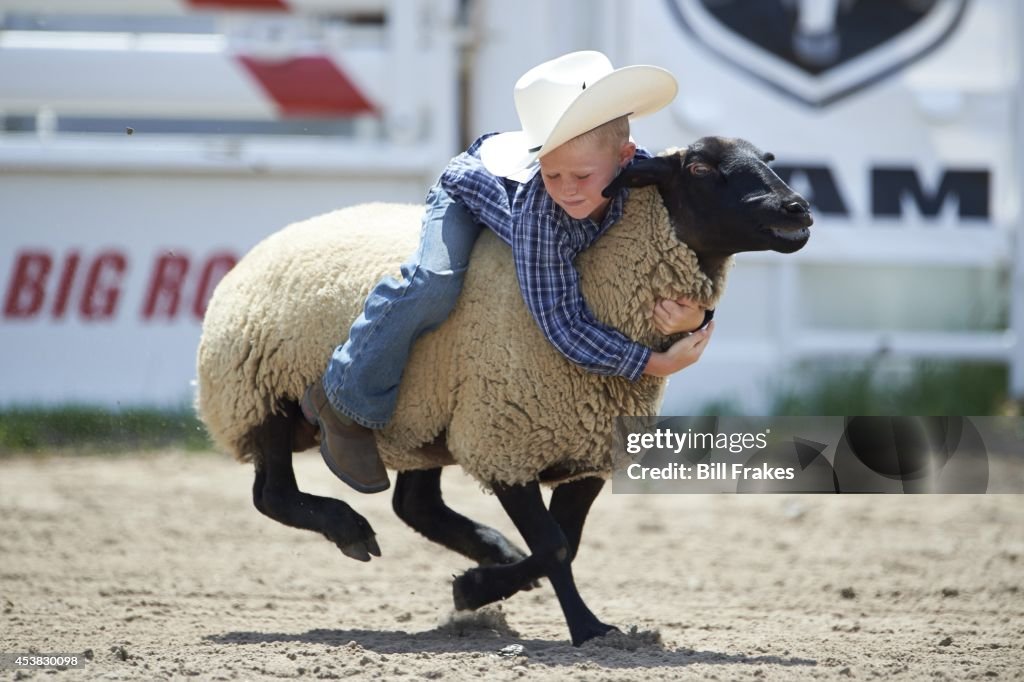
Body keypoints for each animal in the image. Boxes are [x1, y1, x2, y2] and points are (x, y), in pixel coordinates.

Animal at [195, 135, 812, 646]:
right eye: (702, 167)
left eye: (769, 160)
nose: (797, 209)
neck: (600, 274)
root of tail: (265, 246)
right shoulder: (505, 440)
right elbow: (556, 545)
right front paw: (587, 629)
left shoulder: (585, 452)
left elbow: (564, 542)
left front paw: (478, 586)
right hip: (261, 394)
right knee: (273, 495)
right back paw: (351, 529)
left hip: (423, 415)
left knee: (414, 504)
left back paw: (489, 550)